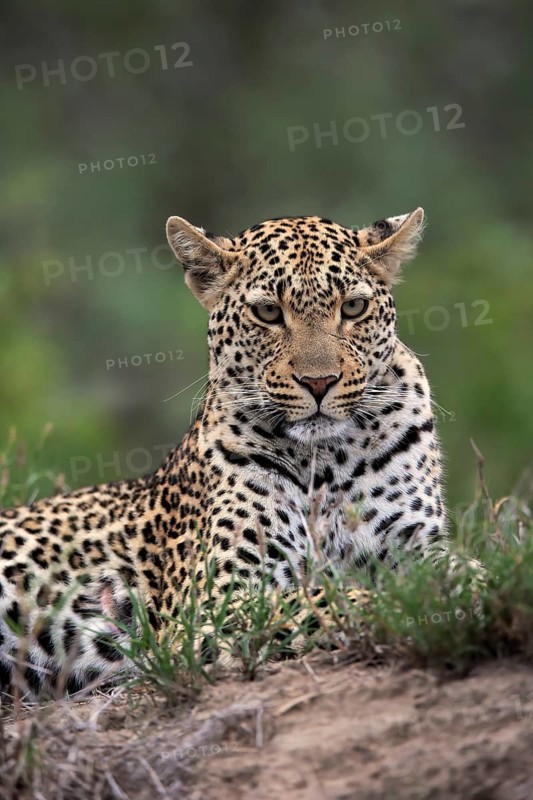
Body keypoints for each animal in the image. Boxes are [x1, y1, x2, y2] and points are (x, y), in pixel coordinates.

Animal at [0, 207, 452, 698]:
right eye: (268, 312)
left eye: (353, 308)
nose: (319, 382)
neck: (326, 459)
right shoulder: (216, 601)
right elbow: (326, 598)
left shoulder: (415, 542)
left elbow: (458, 568)